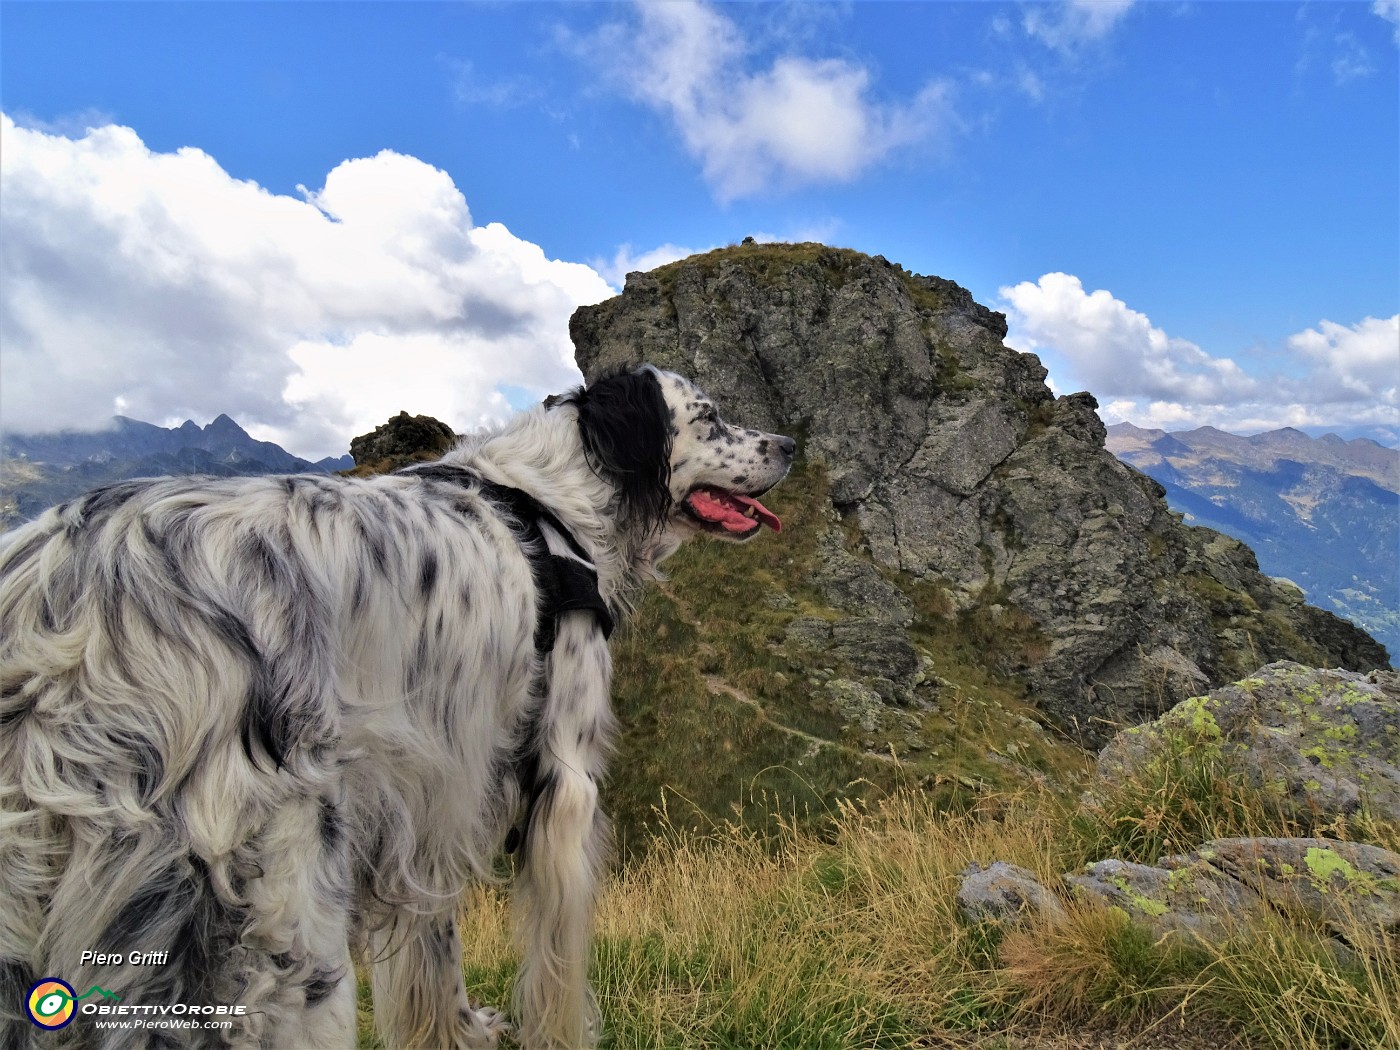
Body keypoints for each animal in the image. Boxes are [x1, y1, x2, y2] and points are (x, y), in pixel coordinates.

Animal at [0, 366, 795, 1047]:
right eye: (709, 417)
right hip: (284, 926)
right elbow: (555, 973)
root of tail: (59, 602)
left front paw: (458, 1031)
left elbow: (432, 951)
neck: (555, 506)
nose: (790, 444)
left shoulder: (436, 790)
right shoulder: (564, 782)